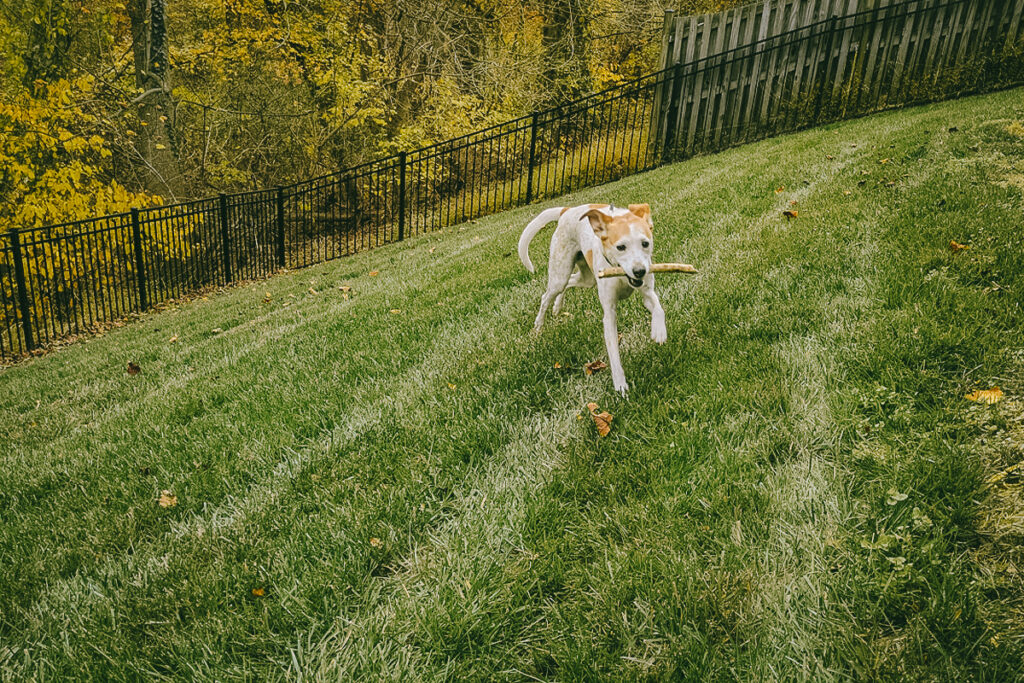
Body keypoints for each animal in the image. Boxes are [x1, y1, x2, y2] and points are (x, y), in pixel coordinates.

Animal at [520, 201, 663, 395]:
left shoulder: (647, 291)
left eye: (645, 243)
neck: (621, 274)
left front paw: (659, 331)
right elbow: (614, 355)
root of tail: (567, 210)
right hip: (560, 273)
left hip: (587, 278)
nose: (639, 271)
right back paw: (539, 325)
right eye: (621, 247)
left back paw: (558, 306)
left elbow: (658, 307)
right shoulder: (609, 314)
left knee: (571, 281)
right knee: (547, 295)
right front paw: (621, 387)